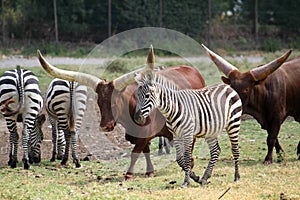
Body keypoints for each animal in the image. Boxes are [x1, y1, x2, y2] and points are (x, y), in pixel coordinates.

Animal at [37, 47, 205, 178]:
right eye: (99, 103)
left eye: (114, 103)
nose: (105, 126)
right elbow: (145, 151)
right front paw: (150, 171)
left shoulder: (144, 134)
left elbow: (135, 152)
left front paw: (129, 174)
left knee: (190, 144)